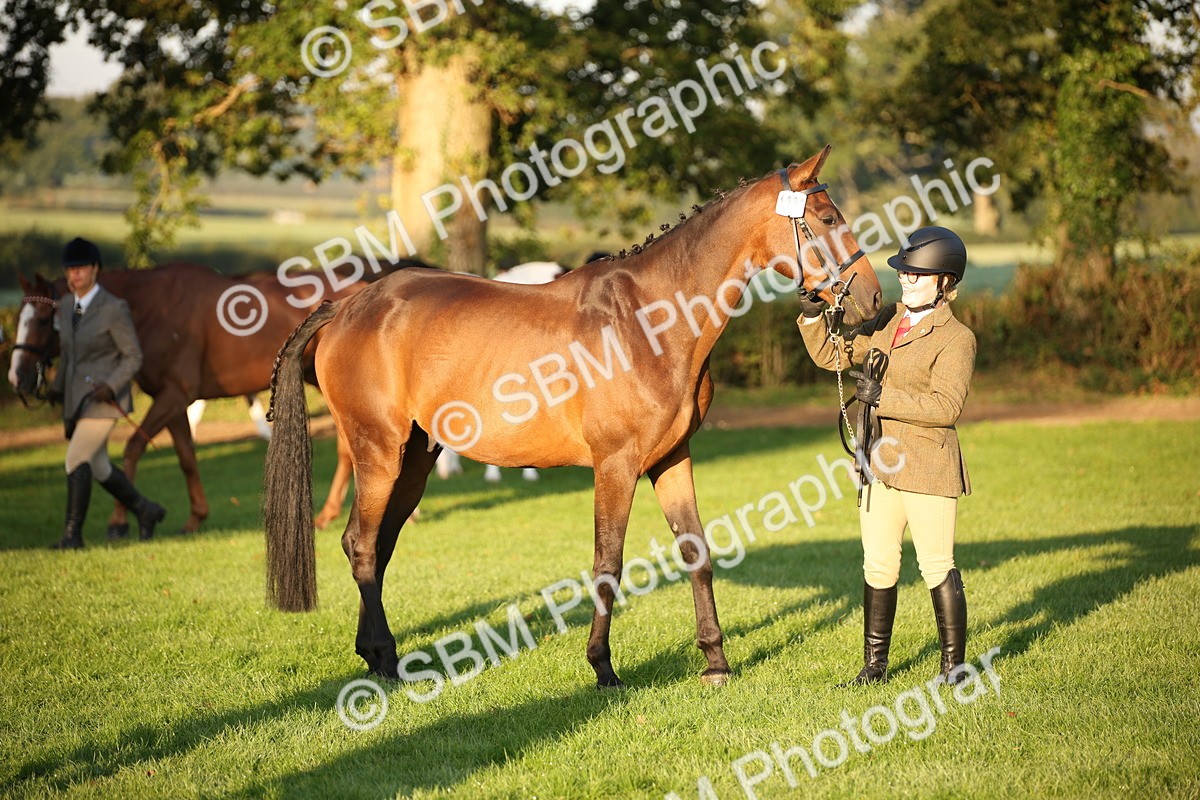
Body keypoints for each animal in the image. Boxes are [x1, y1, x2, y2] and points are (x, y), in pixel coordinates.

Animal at [9, 262, 366, 534]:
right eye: (19, 318)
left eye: (43, 319)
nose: (17, 377)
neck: (153, 307)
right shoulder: (176, 402)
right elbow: (186, 457)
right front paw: (194, 519)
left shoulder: (174, 395)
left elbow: (133, 449)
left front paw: (119, 522)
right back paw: (328, 513)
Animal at [262, 147, 883, 688]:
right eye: (828, 218)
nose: (875, 302)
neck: (649, 321)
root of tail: (350, 305)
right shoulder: (616, 466)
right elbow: (608, 562)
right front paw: (603, 668)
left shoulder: (672, 458)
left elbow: (697, 553)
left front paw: (715, 663)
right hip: (378, 452)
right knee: (363, 545)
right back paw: (387, 660)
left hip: (415, 459)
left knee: (377, 545)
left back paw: (373, 654)